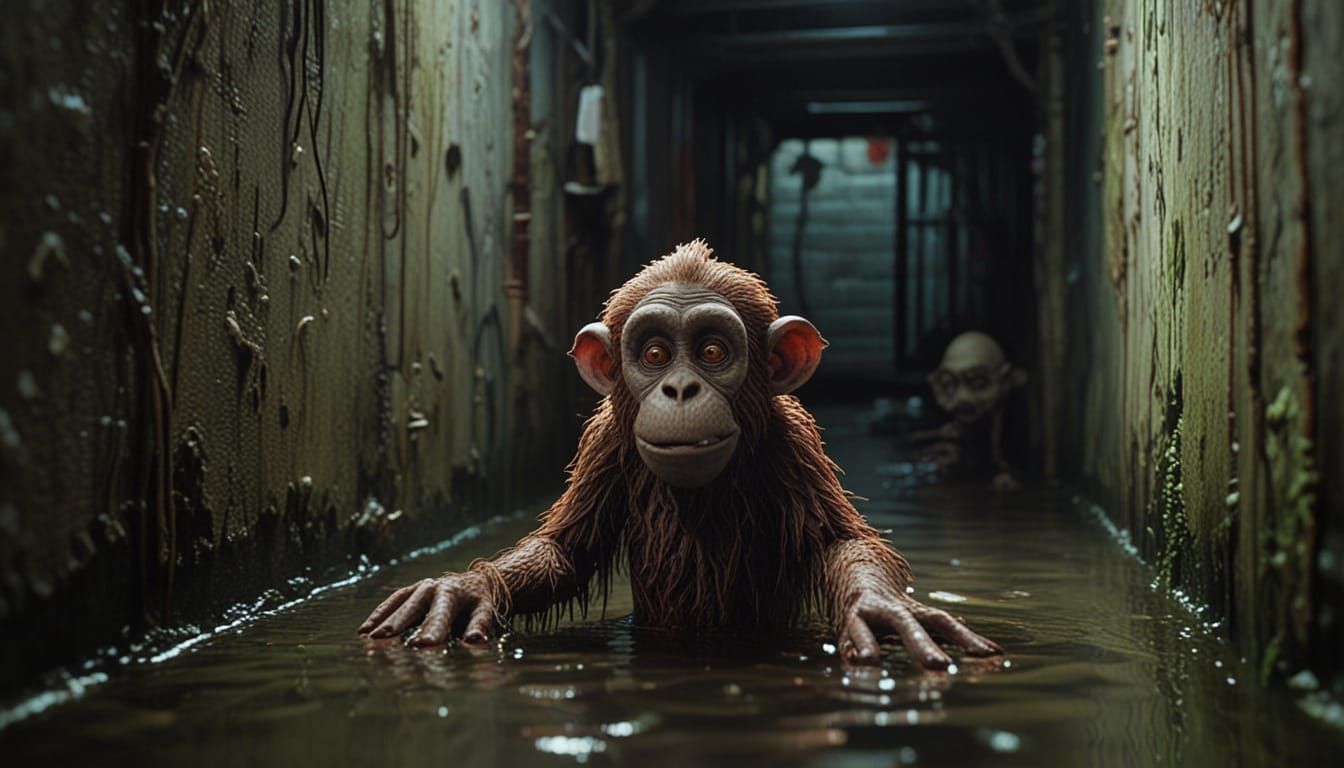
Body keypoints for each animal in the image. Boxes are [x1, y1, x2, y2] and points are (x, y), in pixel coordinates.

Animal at [358, 240, 1001, 669]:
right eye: (655, 354)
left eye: (713, 351)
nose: (681, 389)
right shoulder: (605, 444)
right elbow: (564, 551)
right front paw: (466, 590)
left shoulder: (793, 443)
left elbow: (839, 543)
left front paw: (880, 608)